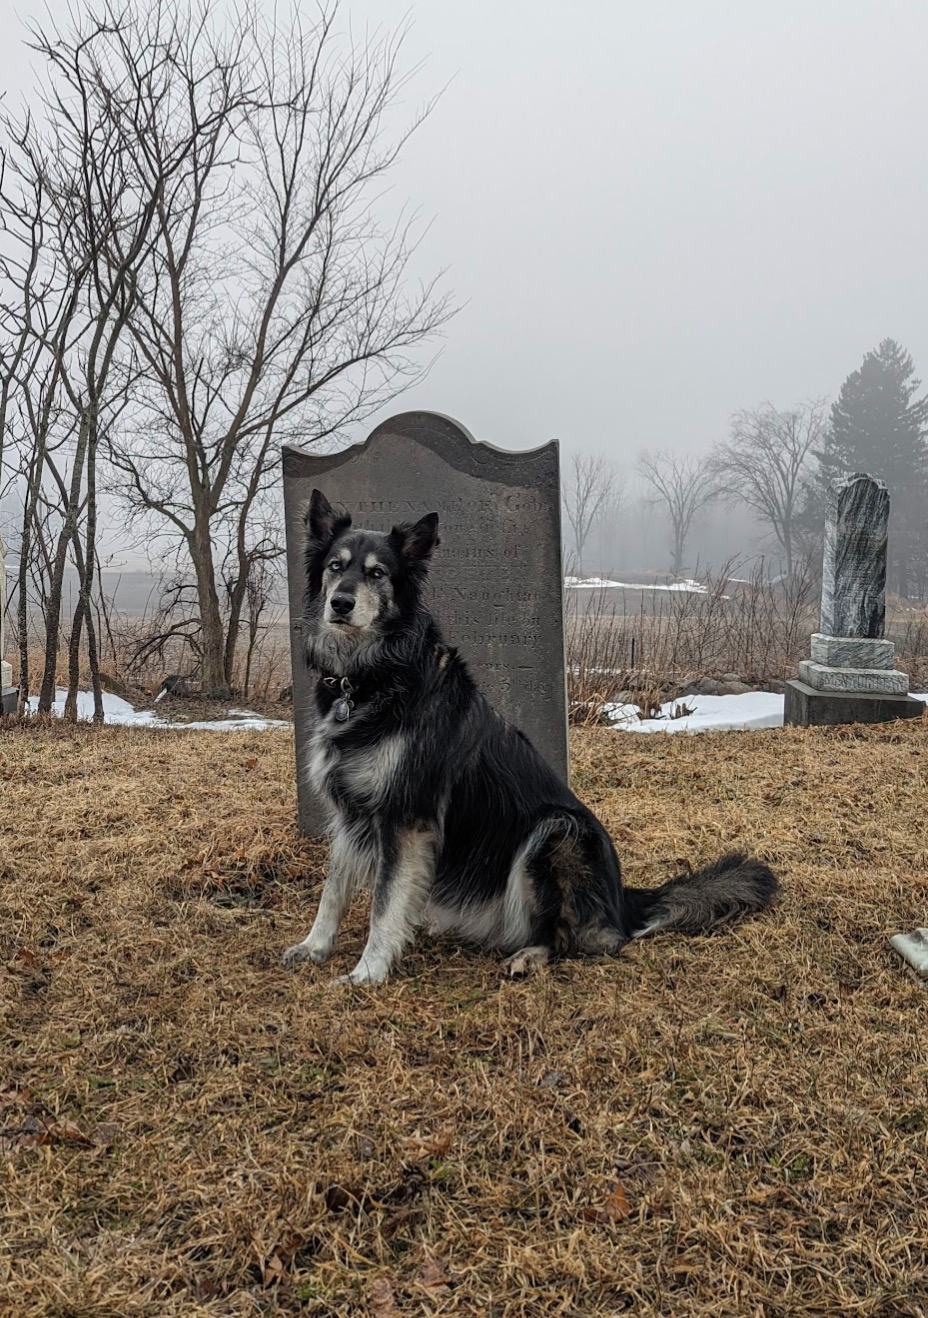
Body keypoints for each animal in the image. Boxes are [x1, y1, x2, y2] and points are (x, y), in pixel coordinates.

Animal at [283, 489, 779, 985]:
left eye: (377, 573)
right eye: (335, 566)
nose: (340, 603)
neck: (369, 679)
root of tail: (624, 900)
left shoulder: (406, 818)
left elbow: (384, 906)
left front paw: (366, 974)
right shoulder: (349, 813)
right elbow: (334, 890)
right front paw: (315, 946)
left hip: (556, 832)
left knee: (580, 938)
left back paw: (529, 956)